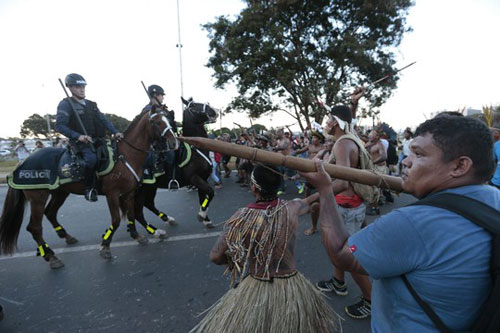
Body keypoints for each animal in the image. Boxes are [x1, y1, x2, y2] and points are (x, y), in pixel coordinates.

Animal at [0, 107, 179, 268]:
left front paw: (137, 236)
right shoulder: (112, 194)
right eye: (157, 122)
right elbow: (116, 220)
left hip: (60, 193)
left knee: (50, 213)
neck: (126, 156)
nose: (174, 142)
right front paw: (105, 246)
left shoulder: (128, 193)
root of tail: (24, 161)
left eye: (168, 120)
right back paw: (51, 256)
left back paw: (66, 237)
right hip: (38, 197)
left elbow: (131, 215)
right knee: (35, 227)